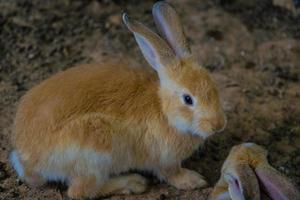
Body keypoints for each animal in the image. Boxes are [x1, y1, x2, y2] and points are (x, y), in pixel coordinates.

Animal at [8, 1, 225, 198]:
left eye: (214, 86)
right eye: (188, 99)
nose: (218, 126)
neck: (164, 111)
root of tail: (28, 161)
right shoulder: (165, 160)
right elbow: (171, 173)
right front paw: (194, 180)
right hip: (95, 151)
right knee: (80, 191)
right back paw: (132, 183)